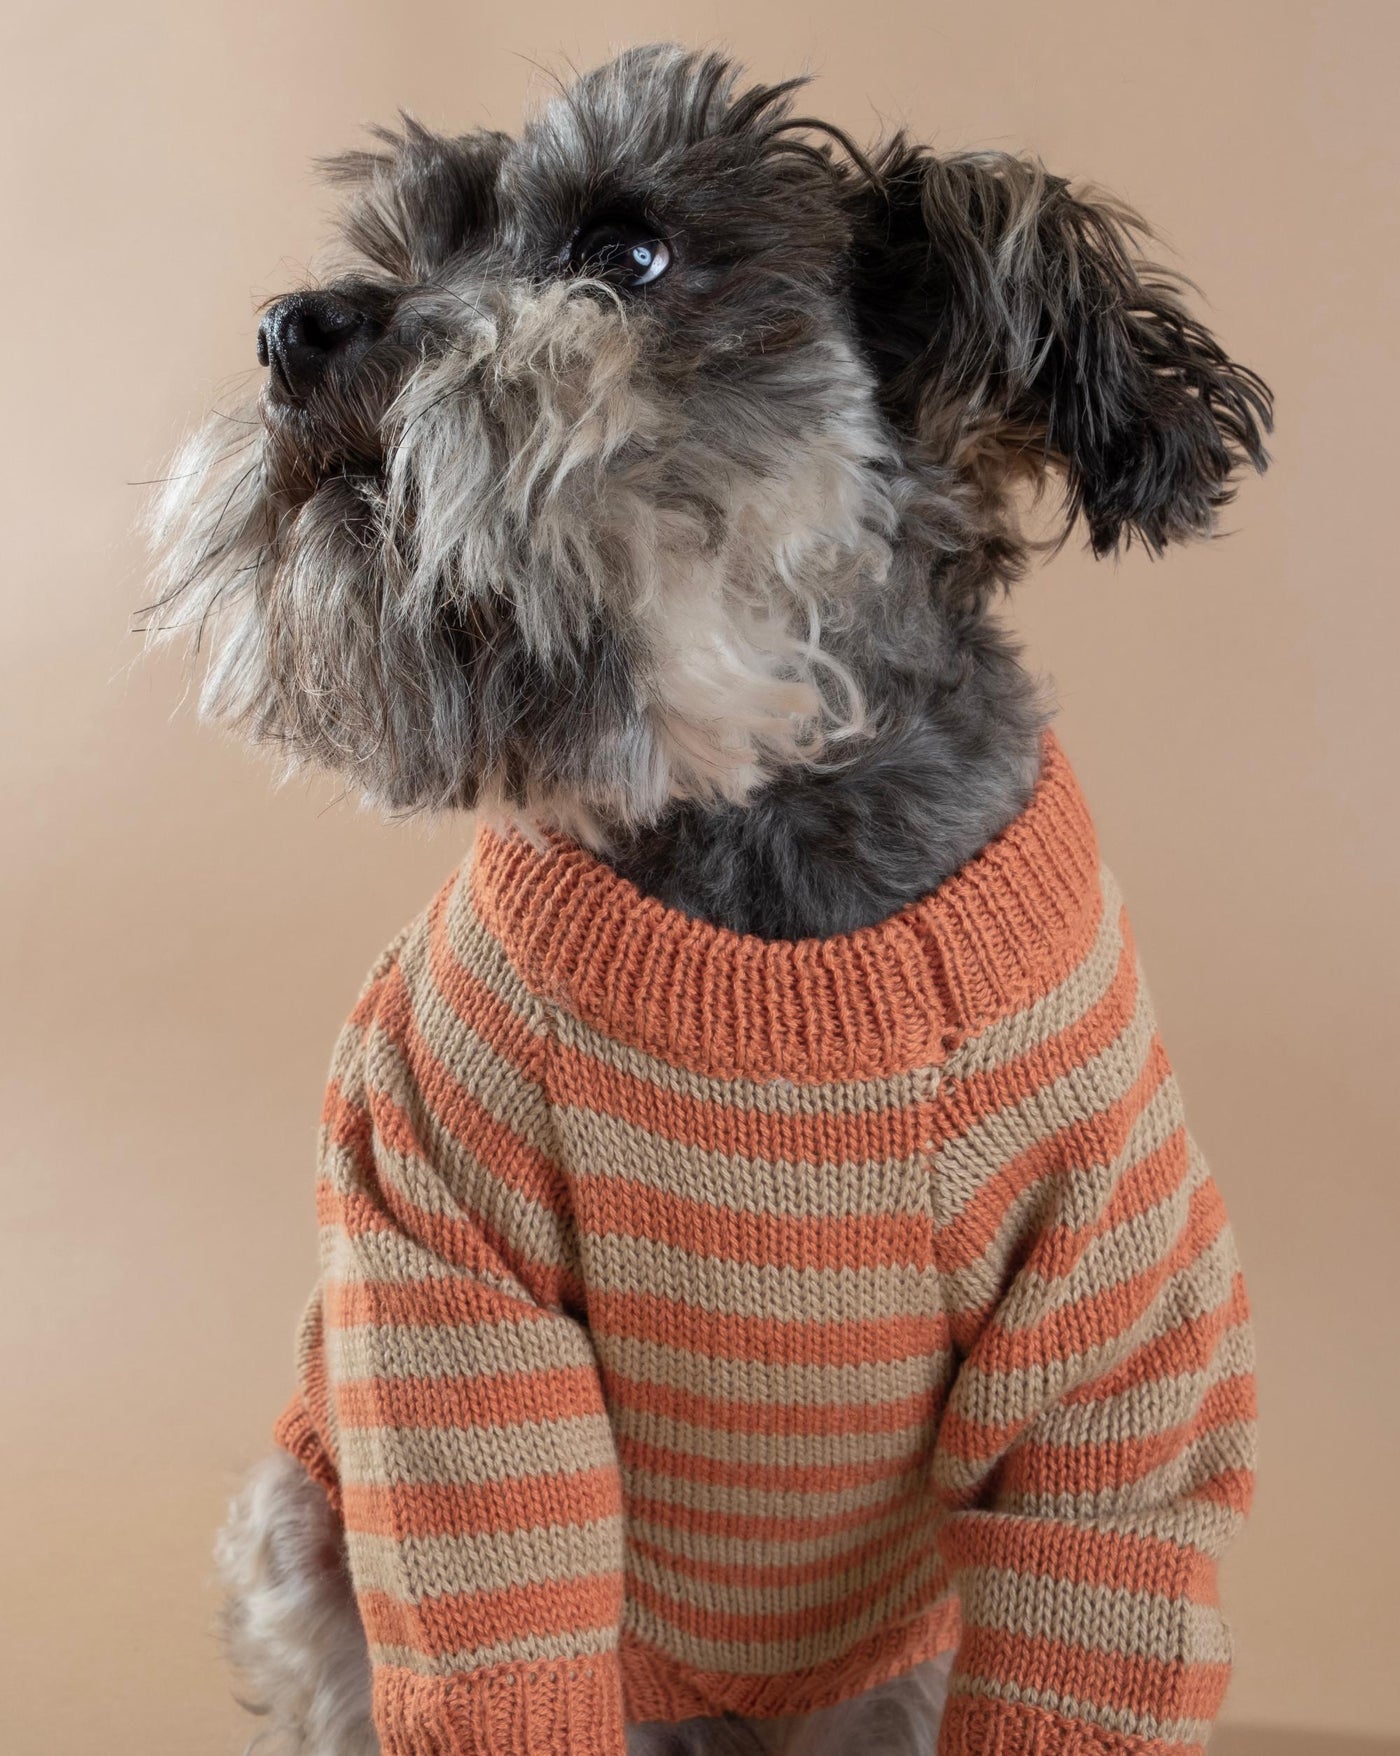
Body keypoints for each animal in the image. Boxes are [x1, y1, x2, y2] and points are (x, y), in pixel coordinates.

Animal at [142, 44, 1264, 1756]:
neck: (754, 833)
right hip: (305, 1525)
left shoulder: (1114, 1343)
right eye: (408, 238)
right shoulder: (439, 1286)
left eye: (629, 252)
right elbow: (494, 1612)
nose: (290, 329)